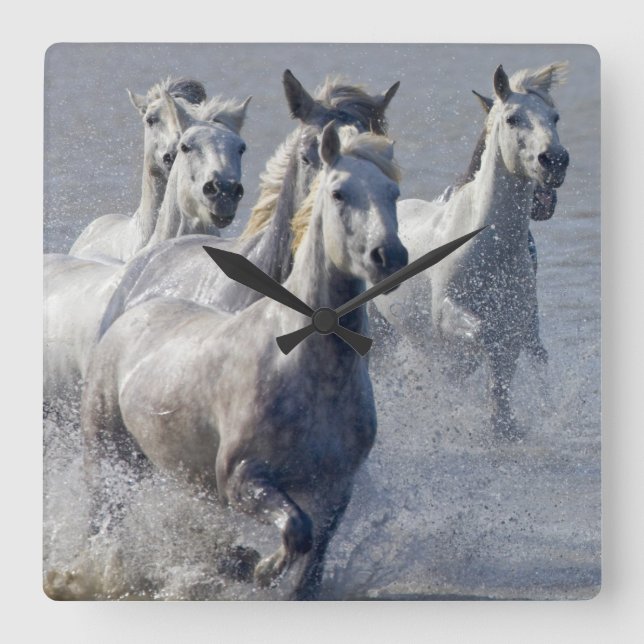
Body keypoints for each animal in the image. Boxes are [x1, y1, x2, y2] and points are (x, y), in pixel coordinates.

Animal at [81, 123, 408, 600]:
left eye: (393, 192)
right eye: (340, 193)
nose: (389, 257)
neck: (310, 374)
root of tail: (133, 309)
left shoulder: (336, 487)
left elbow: (314, 551)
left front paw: (264, 570)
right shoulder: (241, 478)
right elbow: (297, 528)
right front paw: (261, 568)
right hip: (109, 454)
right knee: (102, 518)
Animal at [376, 62, 569, 436]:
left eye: (555, 117)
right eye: (512, 118)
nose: (554, 161)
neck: (491, 246)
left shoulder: (518, 318)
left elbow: (508, 359)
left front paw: (504, 423)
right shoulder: (446, 312)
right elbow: (484, 338)